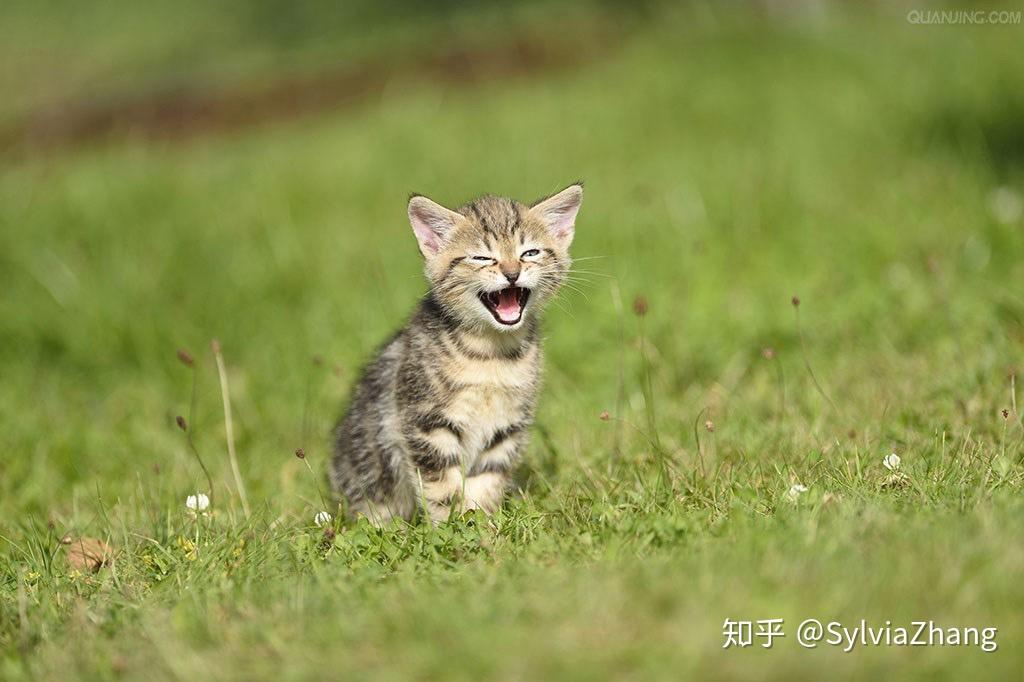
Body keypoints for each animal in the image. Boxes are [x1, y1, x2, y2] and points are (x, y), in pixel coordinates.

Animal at [331, 180, 581, 520]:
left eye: (529, 252)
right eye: (481, 258)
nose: (512, 273)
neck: (491, 353)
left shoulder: (506, 426)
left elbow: (487, 479)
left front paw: (482, 521)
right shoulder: (425, 421)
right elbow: (441, 484)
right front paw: (453, 524)